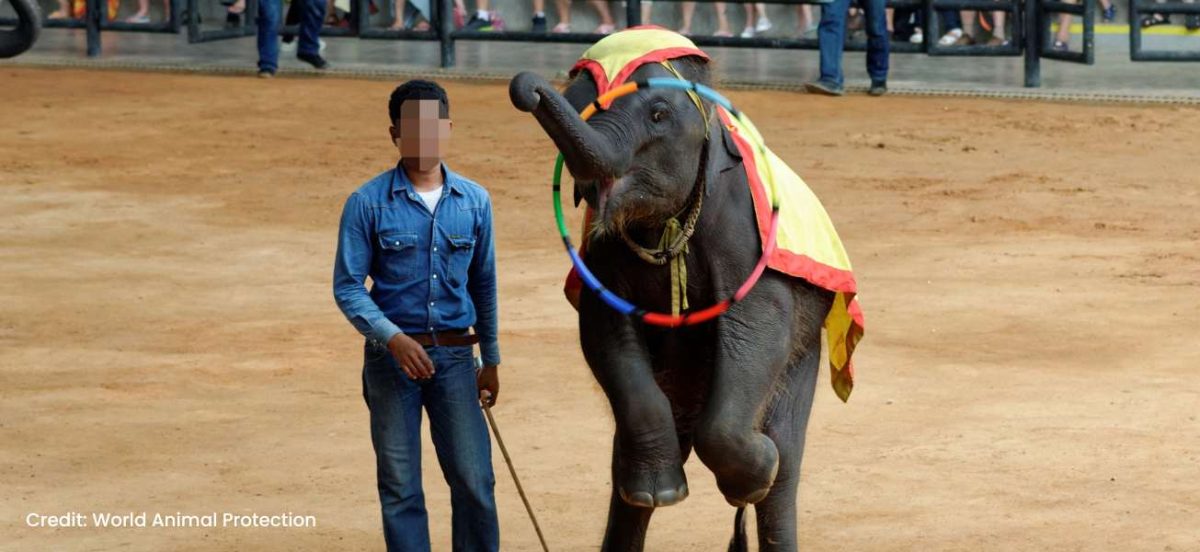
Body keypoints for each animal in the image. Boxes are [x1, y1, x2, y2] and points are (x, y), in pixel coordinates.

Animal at [506, 29, 864, 552]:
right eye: (579, 104)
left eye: (658, 115)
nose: (526, 87)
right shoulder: (603, 248)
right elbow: (604, 327)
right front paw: (665, 493)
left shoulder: (741, 222)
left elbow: (756, 324)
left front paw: (754, 472)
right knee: (624, 469)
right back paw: (651, 488)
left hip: (808, 352)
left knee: (787, 466)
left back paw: (766, 466)